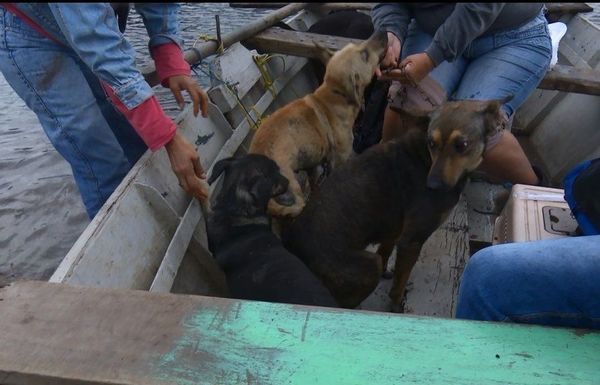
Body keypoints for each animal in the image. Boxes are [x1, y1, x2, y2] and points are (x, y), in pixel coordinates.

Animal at [284, 98, 508, 308]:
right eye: (431, 143)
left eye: (462, 145)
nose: (432, 185)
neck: (425, 160)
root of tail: (293, 249)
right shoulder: (412, 241)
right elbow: (400, 280)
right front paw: (396, 303)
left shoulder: (395, 229)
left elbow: (386, 252)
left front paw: (388, 273)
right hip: (366, 266)